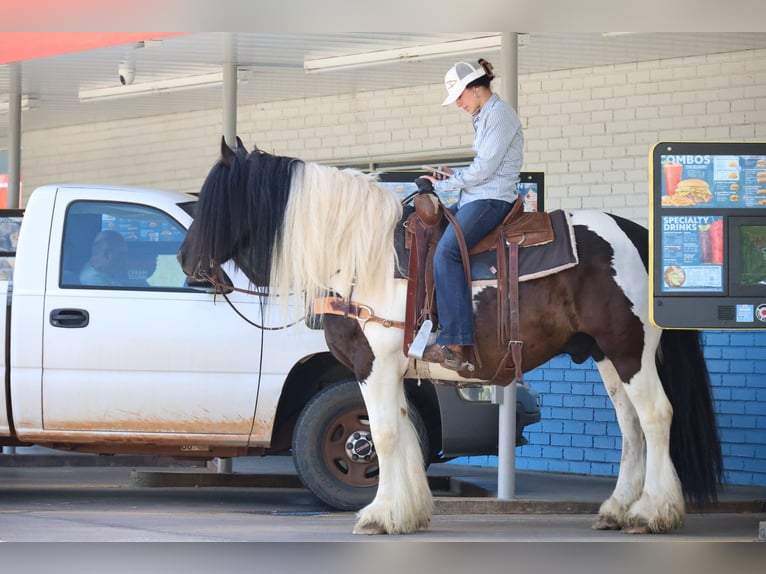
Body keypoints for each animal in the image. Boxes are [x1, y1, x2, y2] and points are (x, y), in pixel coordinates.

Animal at [178, 138, 722, 536]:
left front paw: (379, 515)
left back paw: (653, 513)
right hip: (605, 353)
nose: (186, 261)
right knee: (631, 425)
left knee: (656, 416)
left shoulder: (372, 362)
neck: (359, 254)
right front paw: (407, 512)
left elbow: (382, 435)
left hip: (630, 349)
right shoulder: (393, 369)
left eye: (212, 201)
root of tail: (639, 234)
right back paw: (617, 509)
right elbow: (399, 433)